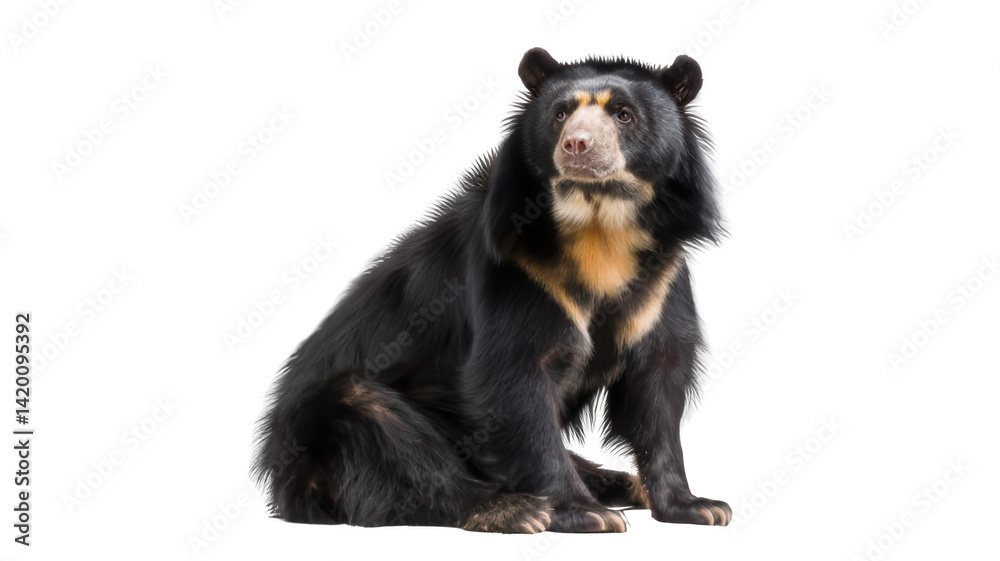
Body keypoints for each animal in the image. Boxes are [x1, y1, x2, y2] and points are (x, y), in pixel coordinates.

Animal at [251, 47, 730, 533]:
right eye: (560, 114)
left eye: (624, 114)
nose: (577, 145)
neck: (598, 226)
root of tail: (276, 474)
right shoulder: (520, 275)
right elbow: (515, 382)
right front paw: (583, 513)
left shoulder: (660, 282)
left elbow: (657, 392)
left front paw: (700, 506)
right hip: (329, 425)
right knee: (387, 433)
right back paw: (513, 508)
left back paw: (621, 483)